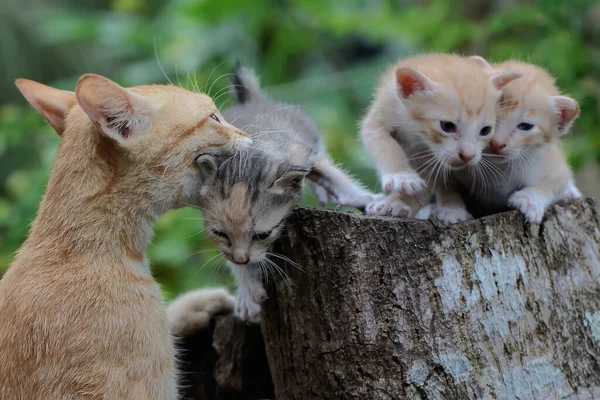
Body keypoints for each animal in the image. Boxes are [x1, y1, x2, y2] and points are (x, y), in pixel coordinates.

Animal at [196, 68, 376, 318]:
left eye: (263, 235)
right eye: (219, 233)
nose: (242, 259)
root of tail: (253, 100)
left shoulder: (303, 152)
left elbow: (332, 173)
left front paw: (364, 198)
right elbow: (228, 255)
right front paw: (247, 290)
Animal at [360, 54, 520, 225]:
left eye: (485, 130)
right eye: (447, 126)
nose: (468, 155)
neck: (416, 132)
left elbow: (434, 180)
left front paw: (398, 203)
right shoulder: (381, 114)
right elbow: (386, 146)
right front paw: (401, 177)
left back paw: (451, 208)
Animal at [460, 57, 580, 223]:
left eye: (525, 126)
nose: (496, 143)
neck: (500, 168)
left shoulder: (554, 164)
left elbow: (553, 183)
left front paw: (529, 200)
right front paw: (448, 210)